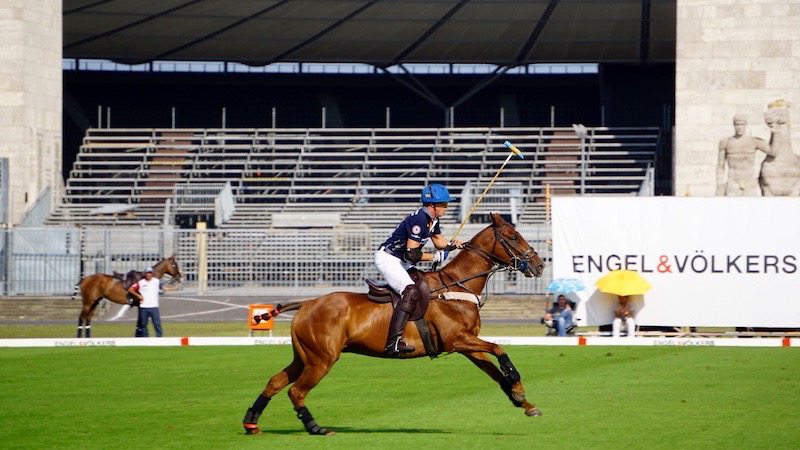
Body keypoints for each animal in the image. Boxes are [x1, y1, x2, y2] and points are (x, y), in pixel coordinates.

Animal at [242, 214, 544, 436]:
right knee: (296, 391)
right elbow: (500, 349)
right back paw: (316, 427)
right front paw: (518, 387)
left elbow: (494, 370)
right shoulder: (456, 340)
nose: (539, 265)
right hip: (322, 359)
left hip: (305, 356)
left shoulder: (466, 345)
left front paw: (523, 401)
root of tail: (306, 304)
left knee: (274, 382)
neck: (457, 286)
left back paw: (251, 422)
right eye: (513, 236)